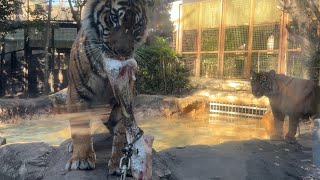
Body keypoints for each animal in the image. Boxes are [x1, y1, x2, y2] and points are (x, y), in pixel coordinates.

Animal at [65, 0, 154, 177]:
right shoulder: (77, 95)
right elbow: (81, 128)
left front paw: (120, 163)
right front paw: (81, 159)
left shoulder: (123, 99)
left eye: (136, 26)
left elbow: (121, 132)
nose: (123, 53)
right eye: (113, 19)